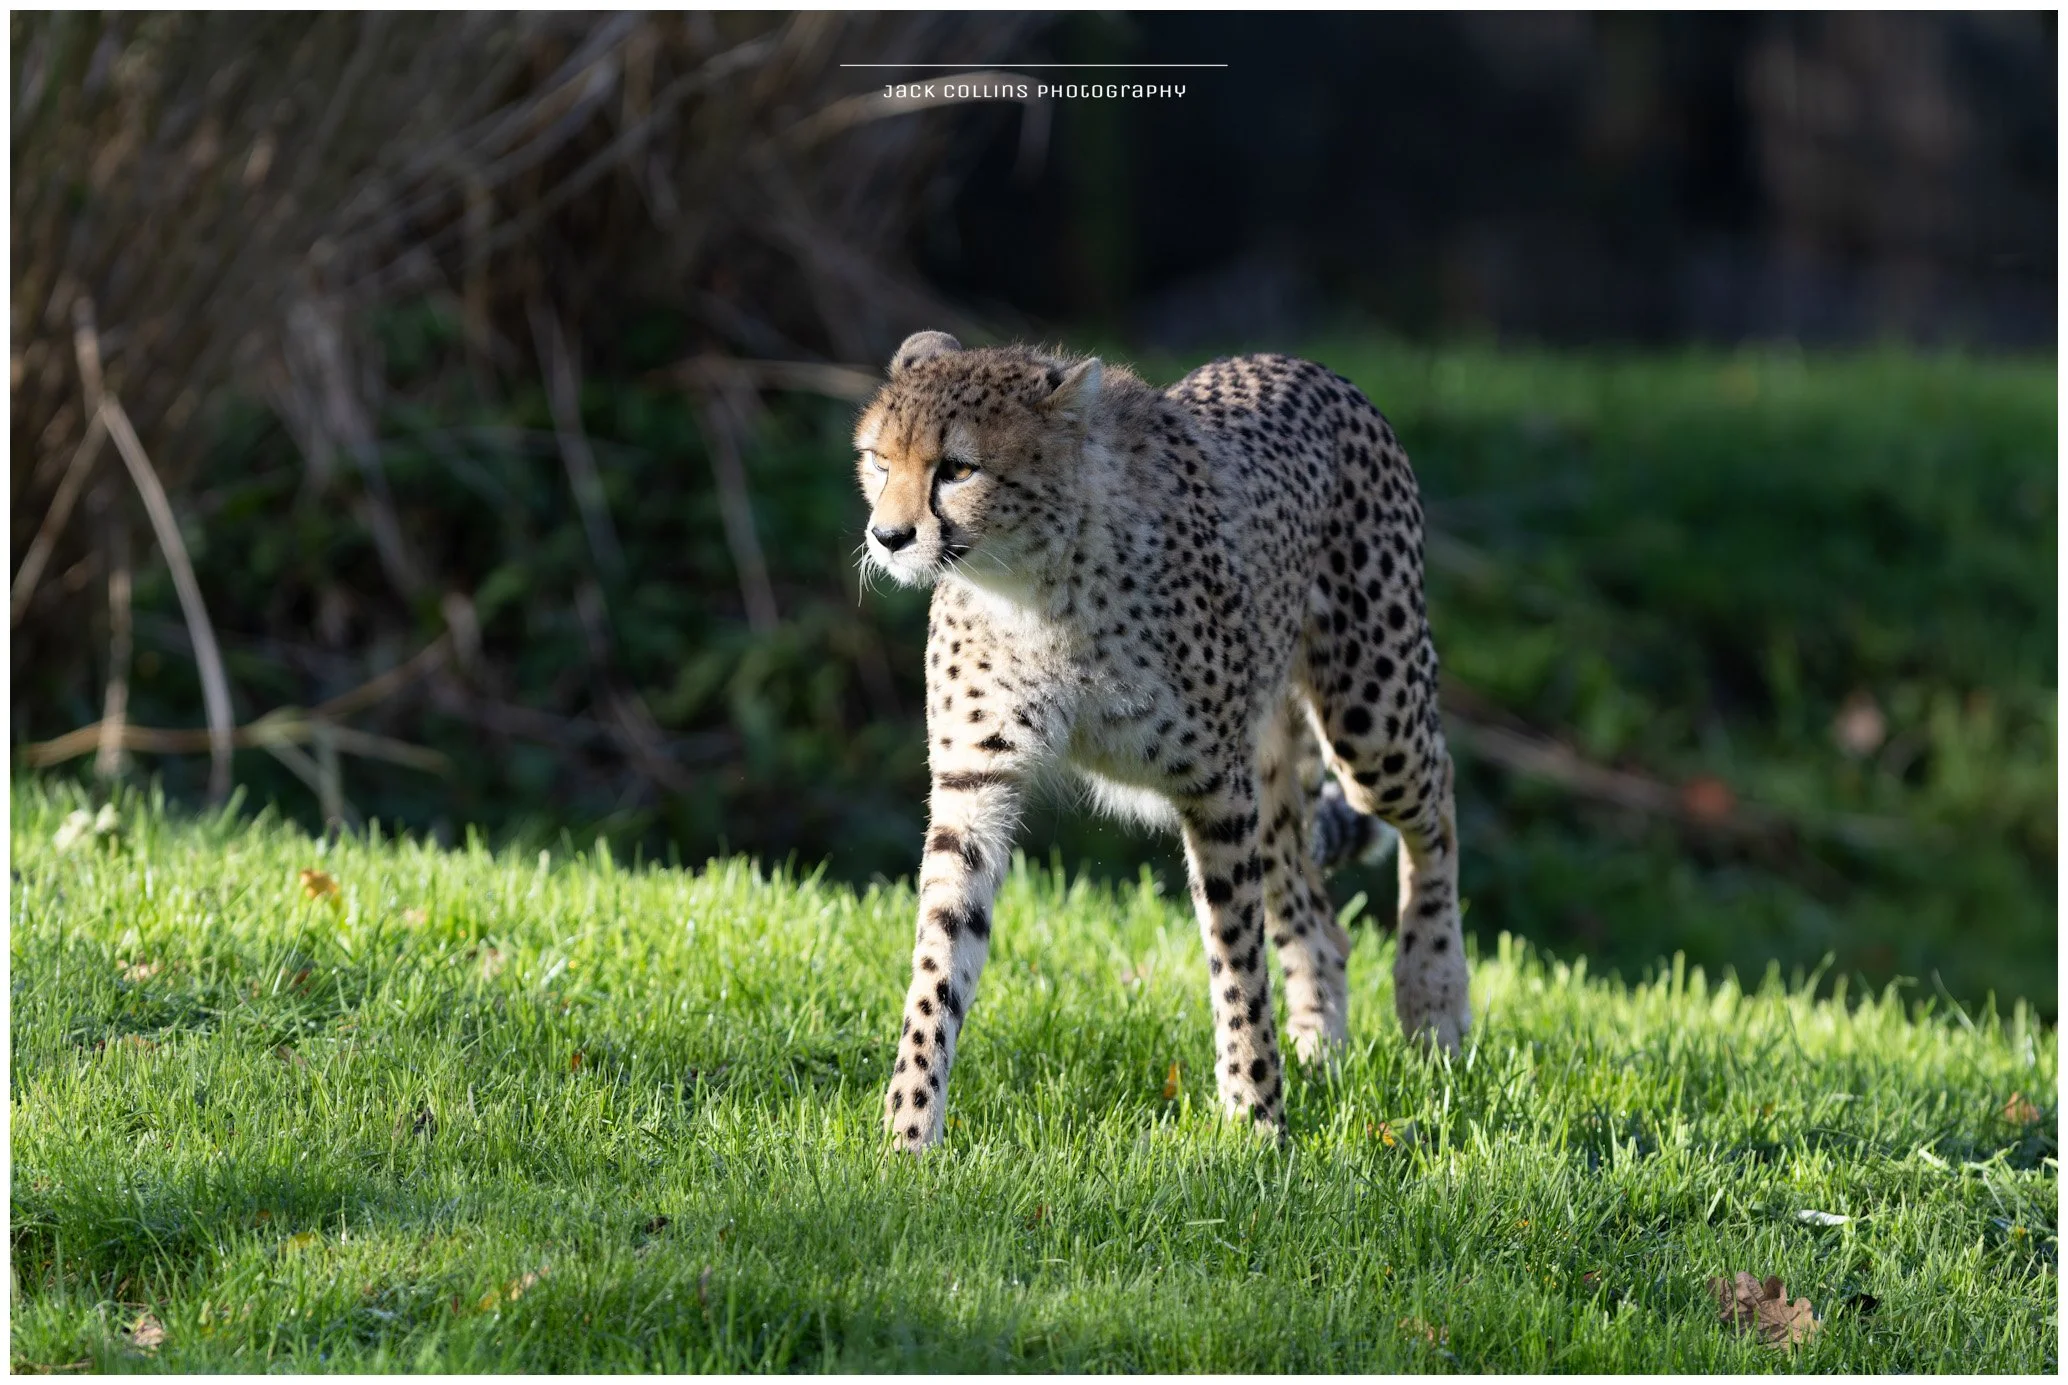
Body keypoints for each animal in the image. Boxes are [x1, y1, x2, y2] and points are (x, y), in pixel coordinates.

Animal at [854, 330, 1469, 1152]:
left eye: (957, 468)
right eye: (880, 461)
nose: (888, 537)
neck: (1032, 584)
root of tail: (1300, 363)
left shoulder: (1212, 788)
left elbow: (1236, 963)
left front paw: (1254, 1124)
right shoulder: (975, 784)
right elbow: (938, 964)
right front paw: (909, 1134)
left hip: (1370, 713)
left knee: (1436, 803)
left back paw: (1433, 998)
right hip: (1272, 770)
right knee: (1315, 915)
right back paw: (1320, 1054)